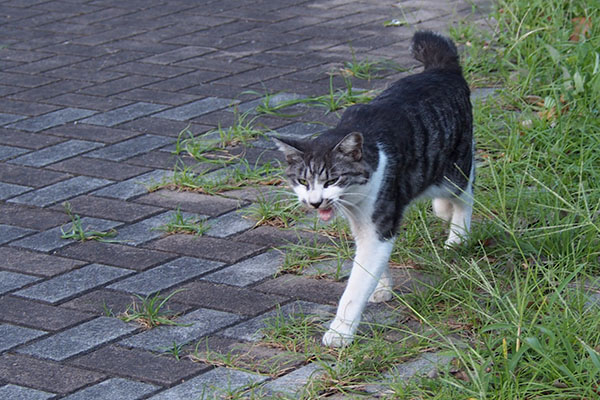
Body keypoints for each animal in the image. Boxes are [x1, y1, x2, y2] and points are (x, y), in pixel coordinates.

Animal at [272, 30, 474, 346]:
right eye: (303, 181)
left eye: (332, 180)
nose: (315, 202)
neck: (355, 199)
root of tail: (441, 69)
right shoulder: (360, 224)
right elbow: (373, 266)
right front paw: (382, 286)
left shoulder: (379, 221)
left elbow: (356, 285)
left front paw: (340, 332)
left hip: (454, 168)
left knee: (465, 193)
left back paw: (458, 235)